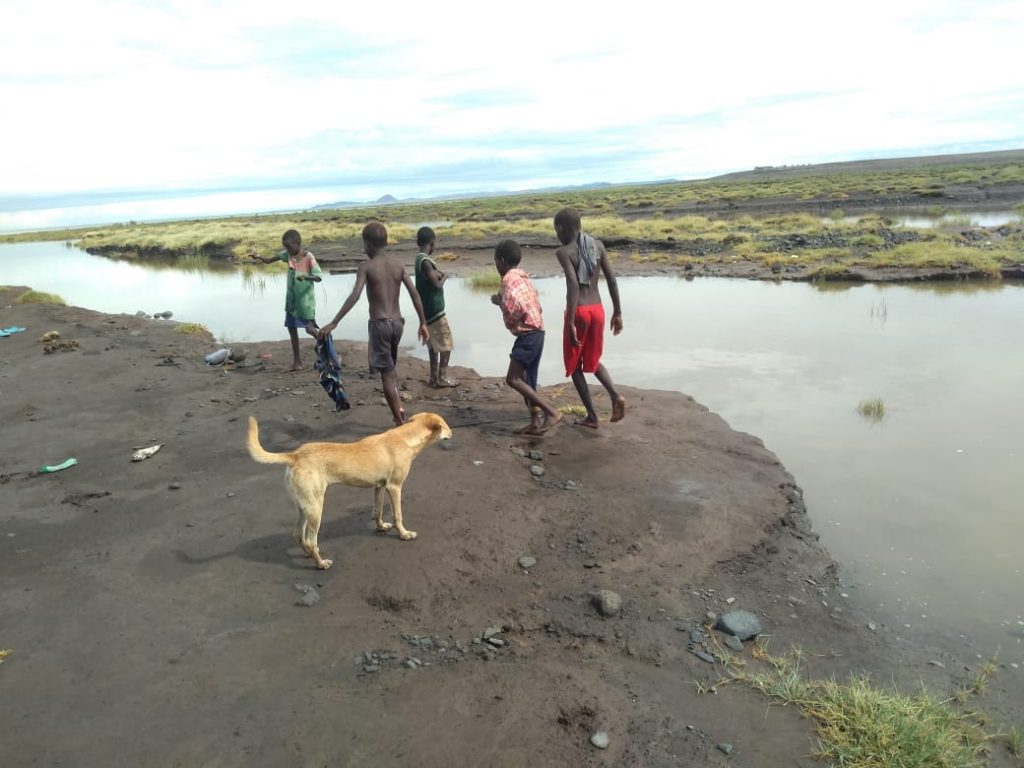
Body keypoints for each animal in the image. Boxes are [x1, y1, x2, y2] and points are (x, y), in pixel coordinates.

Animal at [245, 411, 450, 569]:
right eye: (446, 426)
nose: (453, 431)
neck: (405, 438)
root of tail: (295, 455)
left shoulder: (379, 486)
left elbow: (377, 511)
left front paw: (381, 527)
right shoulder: (394, 487)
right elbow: (398, 515)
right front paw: (404, 534)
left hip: (303, 506)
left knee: (298, 535)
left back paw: (309, 554)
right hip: (316, 507)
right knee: (310, 539)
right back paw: (321, 564)